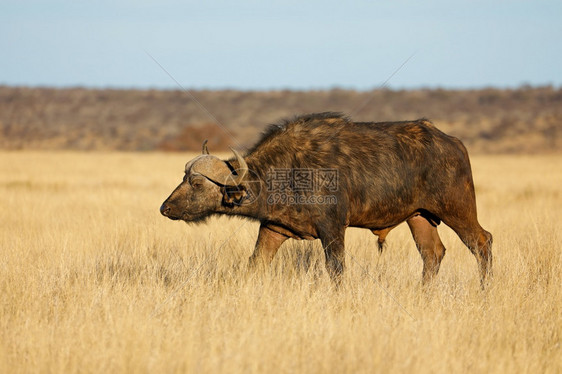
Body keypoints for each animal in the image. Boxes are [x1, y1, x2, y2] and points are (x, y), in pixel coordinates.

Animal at [159, 112, 490, 284]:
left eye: (197, 183)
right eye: (183, 177)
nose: (165, 208)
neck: (286, 171)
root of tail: (453, 142)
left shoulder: (332, 230)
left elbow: (336, 270)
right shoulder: (274, 229)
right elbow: (255, 264)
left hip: (456, 209)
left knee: (482, 242)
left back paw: (484, 290)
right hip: (419, 217)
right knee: (433, 254)